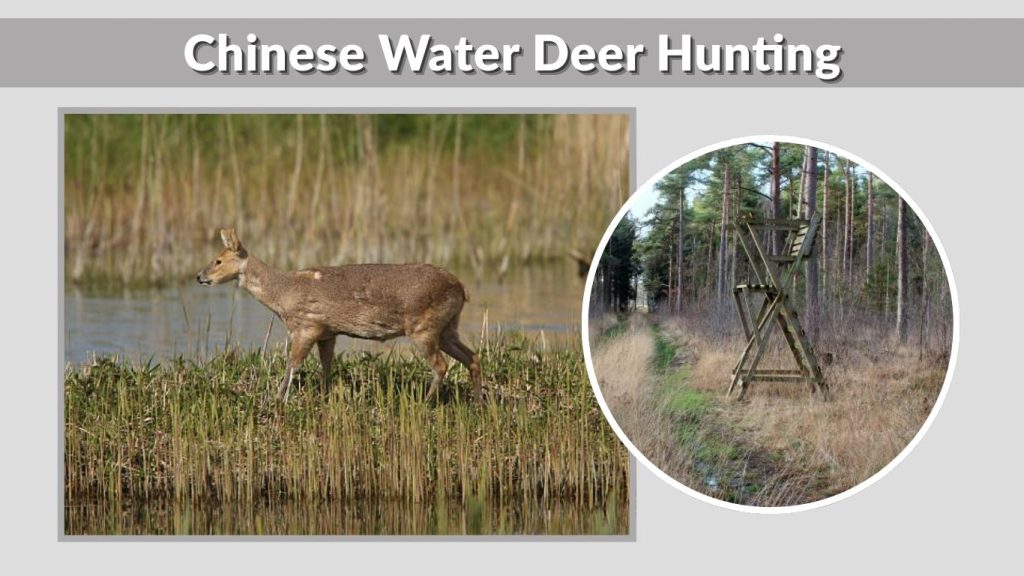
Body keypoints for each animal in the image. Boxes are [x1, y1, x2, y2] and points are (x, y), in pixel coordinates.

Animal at [196, 228, 483, 403]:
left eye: (218, 260)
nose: (199, 276)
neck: (283, 296)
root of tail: (461, 288)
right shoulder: (328, 333)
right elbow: (326, 366)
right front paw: (325, 396)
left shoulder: (307, 325)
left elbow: (292, 364)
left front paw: (278, 399)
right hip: (447, 327)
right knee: (472, 357)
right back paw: (478, 401)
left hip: (424, 326)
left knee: (442, 365)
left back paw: (427, 402)